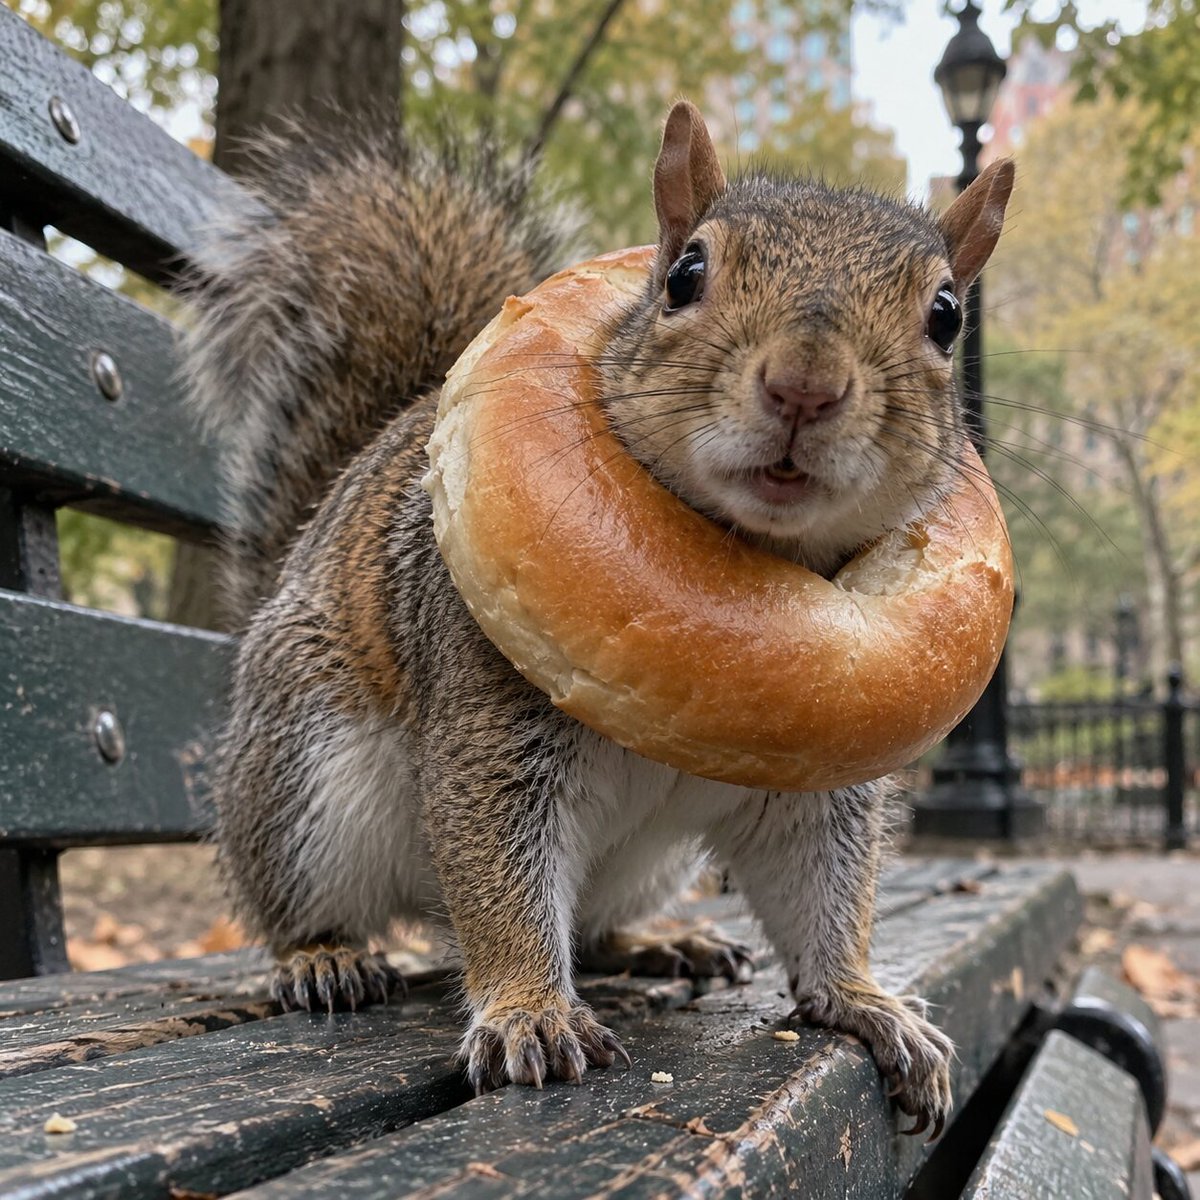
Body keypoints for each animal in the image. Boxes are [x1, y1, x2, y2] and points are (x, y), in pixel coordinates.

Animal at [185, 100, 1013, 1137]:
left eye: (947, 317)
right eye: (685, 274)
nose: (805, 385)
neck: (756, 551)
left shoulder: (817, 770)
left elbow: (823, 884)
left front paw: (867, 1002)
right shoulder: (494, 721)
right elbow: (497, 876)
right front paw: (530, 1013)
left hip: (647, 863)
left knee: (592, 920)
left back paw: (661, 943)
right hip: (308, 774)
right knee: (295, 895)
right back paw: (324, 958)